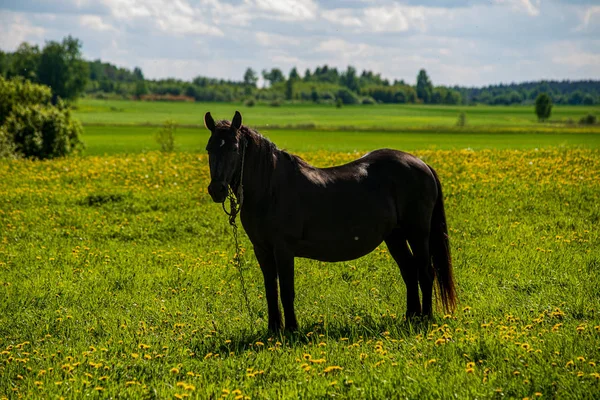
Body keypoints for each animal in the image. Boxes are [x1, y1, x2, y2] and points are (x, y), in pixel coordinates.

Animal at [204, 110, 458, 332]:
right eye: (209, 149)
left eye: (234, 148)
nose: (217, 190)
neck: (270, 189)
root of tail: (422, 164)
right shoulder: (262, 250)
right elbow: (271, 290)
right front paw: (273, 330)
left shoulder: (283, 249)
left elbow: (286, 290)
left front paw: (292, 329)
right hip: (394, 236)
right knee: (409, 271)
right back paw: (411, 317)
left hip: (418, 234)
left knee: (425, 272)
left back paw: (425, 318)